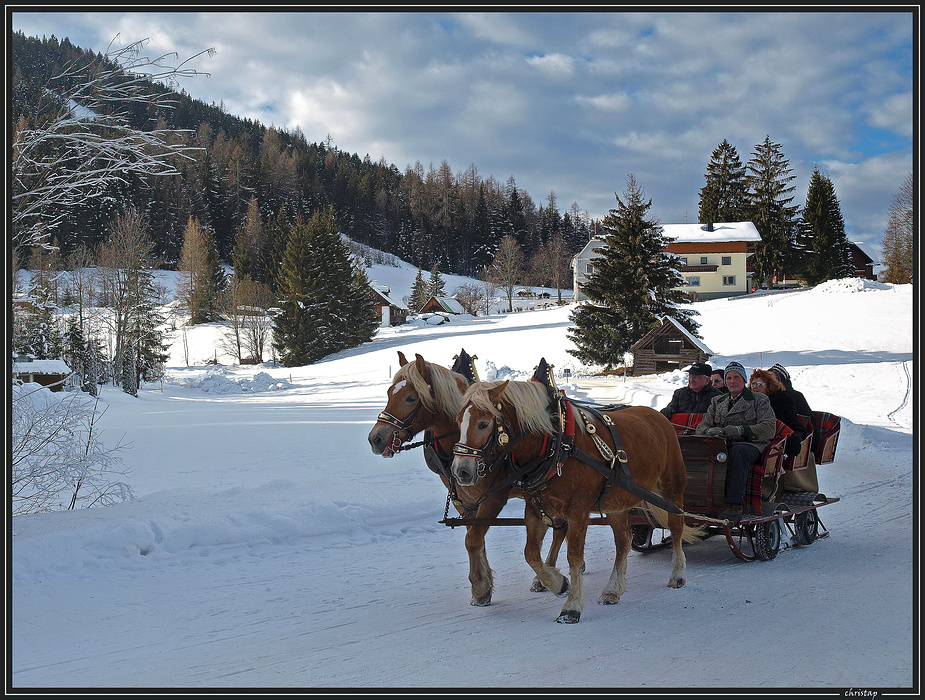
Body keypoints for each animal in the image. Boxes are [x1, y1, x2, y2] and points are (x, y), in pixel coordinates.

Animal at [366, 352, 568, 604]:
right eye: (388, 393)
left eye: (411, 398)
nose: (376, 438)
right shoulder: (463, 498)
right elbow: (474, 536)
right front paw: (483, 585)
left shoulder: (494, 497)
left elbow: (472, 539)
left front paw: (480, 587)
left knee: (561, 527)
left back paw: (546, 576)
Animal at [452, 378, 696, 624]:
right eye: (457, 421)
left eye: (483, 424)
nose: (460, 471)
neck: (557, 445)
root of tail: (659, 416)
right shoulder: (535, 510)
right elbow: (531, 554)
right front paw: (558, 584)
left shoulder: (578, 512)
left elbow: (574, 557)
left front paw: (571, 606)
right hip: (616, 503)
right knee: (623, 541)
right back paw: (613, 589)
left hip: (672, 488)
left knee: (676, 526)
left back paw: (677, 574)